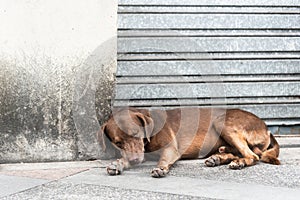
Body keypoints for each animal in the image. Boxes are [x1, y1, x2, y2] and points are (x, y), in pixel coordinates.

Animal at [97, 107, 280, 177]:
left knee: (252, 156)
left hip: (223, 122)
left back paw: (239, 162)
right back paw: (218, 158)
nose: (135, 160)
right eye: (117, 143)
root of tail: (266, 127)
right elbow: (125, 158)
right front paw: (118, 164)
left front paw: (160, 168)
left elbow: (164, 158)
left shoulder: (170, 148)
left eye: (136, 134)